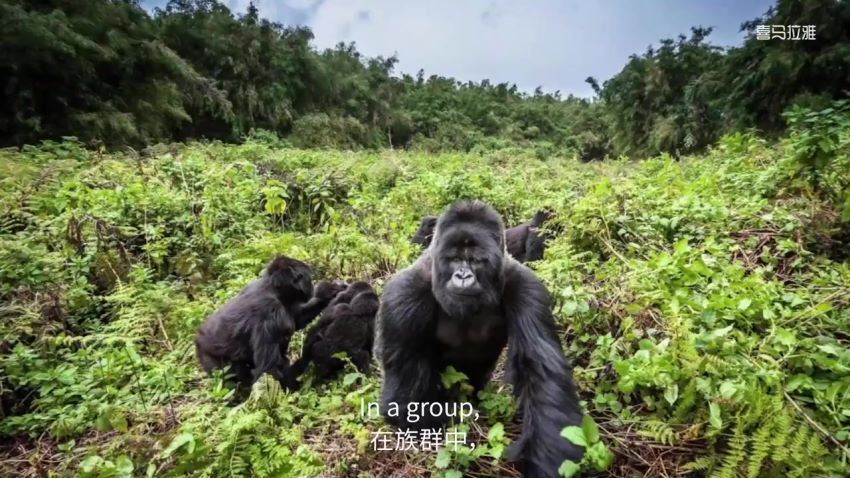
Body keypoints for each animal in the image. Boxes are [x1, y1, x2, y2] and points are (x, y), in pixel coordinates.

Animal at [195, 256, 344, 390]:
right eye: (308, 278)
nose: (312, 286)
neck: (273, 289)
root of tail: (197, 337)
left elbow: (297, 319)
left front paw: (328, 293)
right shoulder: (270, 312)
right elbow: (270, 370)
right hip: (208, 357)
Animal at [378, 202, 584, 478]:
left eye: (476, 261)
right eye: (455, 259)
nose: (463, 276)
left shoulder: (527, 288)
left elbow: (541, 375)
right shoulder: (403, 296)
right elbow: (405, 397)